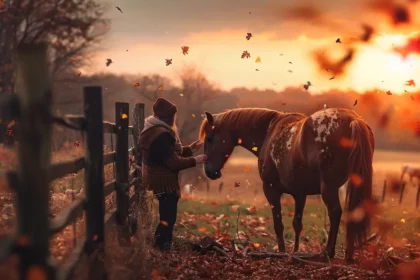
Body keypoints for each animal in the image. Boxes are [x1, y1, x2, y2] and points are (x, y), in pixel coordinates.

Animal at [199, 106, 376, 260]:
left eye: (209, 139)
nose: (209, 172)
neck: (269, 131)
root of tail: (353, 120)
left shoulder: (271, 190)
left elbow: (278, 224)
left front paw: (282, 252)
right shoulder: (300, 194)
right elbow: (297, 224)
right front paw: (295, 252)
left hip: (329, 188)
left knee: (335, 213)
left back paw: (328, 253)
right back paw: (348, 254)